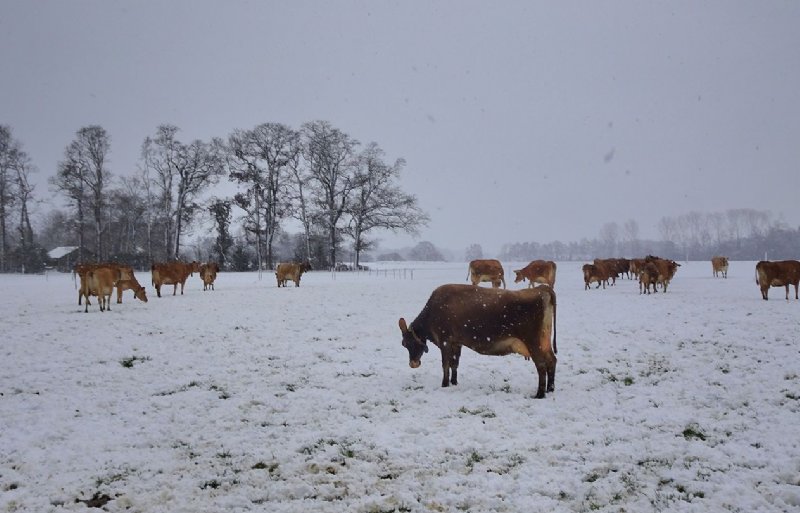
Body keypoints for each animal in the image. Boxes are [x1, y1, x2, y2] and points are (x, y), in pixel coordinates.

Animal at [398, 284, 557, 399]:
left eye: (407, 343)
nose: (413, 364)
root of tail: (542, 288)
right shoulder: (456, 342)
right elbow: (454, 364)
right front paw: (454, 382)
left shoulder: (445, 341)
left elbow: (445, 365)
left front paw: (444, 384)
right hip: (545, 342)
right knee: (552, 361)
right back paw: (550, 389)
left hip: (533, 342)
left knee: (541, 365)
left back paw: (540, 394)